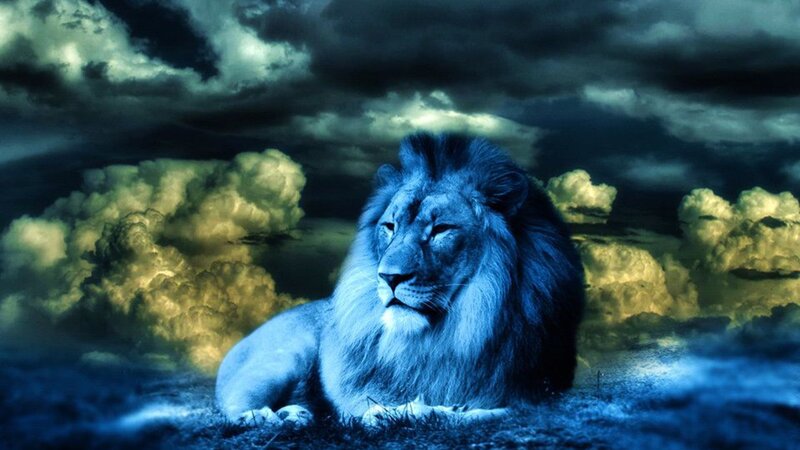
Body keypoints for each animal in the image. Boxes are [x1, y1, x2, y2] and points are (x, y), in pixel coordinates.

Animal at [215, 133, 585, 427]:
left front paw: (437, 410)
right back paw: (270, 417)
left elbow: (494, 412)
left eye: (441, 229)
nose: (389, 277)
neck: (460, 331)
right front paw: (390, 413)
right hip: (283, 358)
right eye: (390, 226)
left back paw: (297, 413)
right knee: (234, 407)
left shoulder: (536, 395)